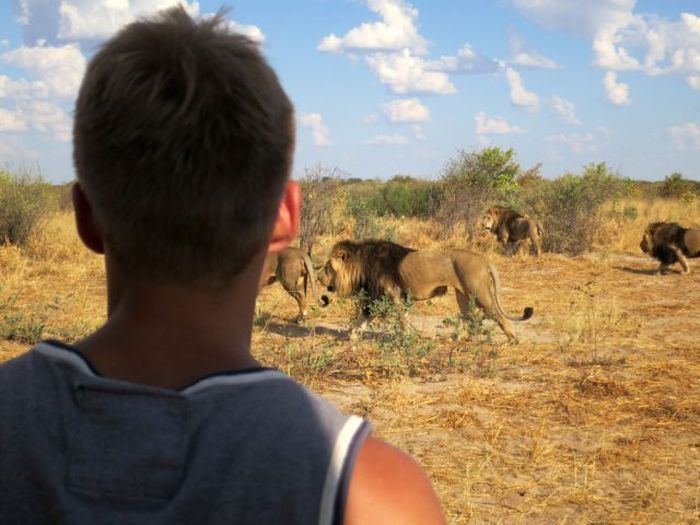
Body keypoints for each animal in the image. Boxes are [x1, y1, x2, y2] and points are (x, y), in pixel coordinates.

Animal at [318, 239, 536, 342]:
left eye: (327, 267)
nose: (319, 278)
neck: (361, 265)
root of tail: (484, 259)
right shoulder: (378, 298)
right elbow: (362, 319)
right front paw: (352, 335)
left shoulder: (393, 295)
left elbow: (401, 321)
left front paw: (405, 339)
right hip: (462, 295)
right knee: (467, 316)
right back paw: (457, 338)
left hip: (480, 291)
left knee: (498, 315)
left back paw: (512, 340)